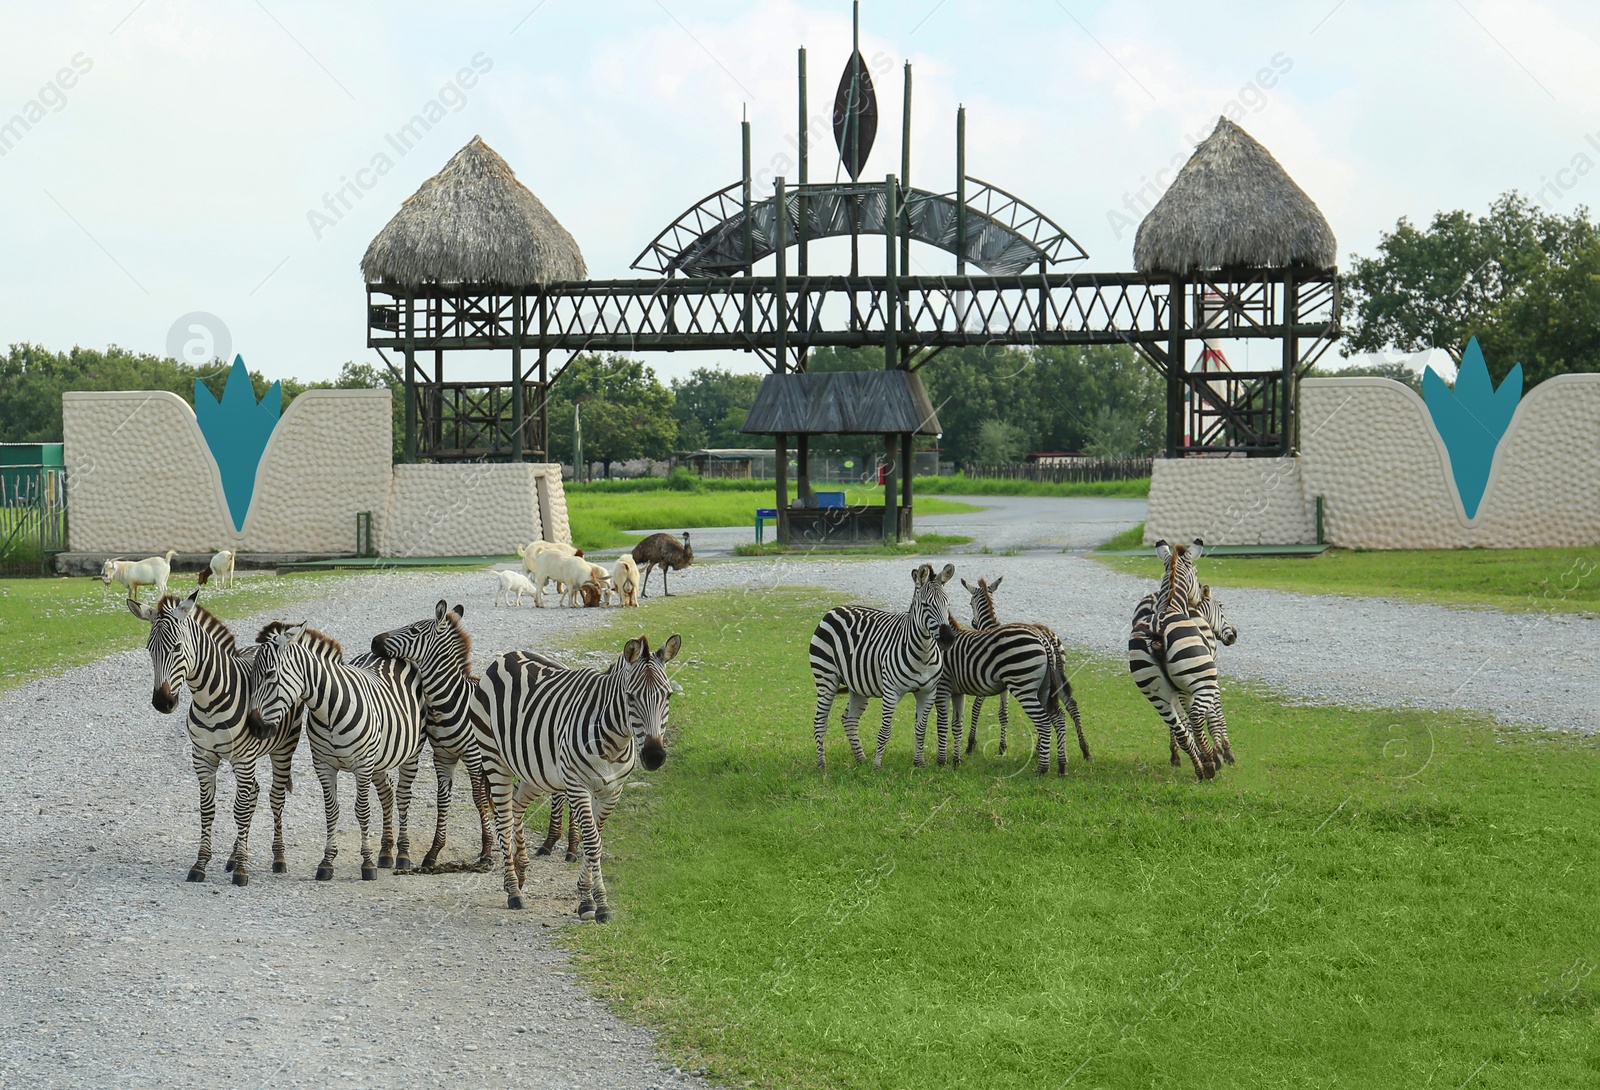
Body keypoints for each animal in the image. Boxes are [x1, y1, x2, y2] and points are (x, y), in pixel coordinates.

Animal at [127, 595, 300, 883]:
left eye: (177, 647)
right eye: (149, 649)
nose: (162, 703)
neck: (209, 700)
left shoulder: (243, 758)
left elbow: (239, 810)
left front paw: (242, 869)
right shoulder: (203, 757)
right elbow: (207, 809)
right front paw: (201, 864)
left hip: (283, 749)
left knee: (275, 798)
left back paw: (278, 858)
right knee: (254, 793)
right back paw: (232, 856)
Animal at [246, 624, 428, 877]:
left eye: (270, 674)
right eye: (251, 676)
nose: (254, 727)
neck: (328, 711)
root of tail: (384, 654)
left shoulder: (362, 765)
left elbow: (362, 810)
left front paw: (367, 864)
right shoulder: (324, 765)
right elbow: (331, 810)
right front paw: (327, 862)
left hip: (410, 753)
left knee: (402, 797)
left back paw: (402, 855)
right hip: (380, 759)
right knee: (387, 794)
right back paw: (385, 853)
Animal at [368, 598, 492, 870]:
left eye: (414, 630)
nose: (374, 640)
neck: (447, 703)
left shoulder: (473, 755)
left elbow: (478, 799)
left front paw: (487, 850)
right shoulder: (442, 755)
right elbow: (442, 799)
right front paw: (433, 852)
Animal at [806, 560, 953, 774]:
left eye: (948, 604)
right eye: (926, 605)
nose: (948, 639)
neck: (924, 653)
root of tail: (834, 609)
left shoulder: (928, 692)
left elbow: (920, 729)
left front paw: (919, 763)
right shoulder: (892, 691)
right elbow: (885, 730)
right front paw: (877, 766)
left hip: (857, 685)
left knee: (849, 719)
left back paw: (861, 759)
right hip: (826, 677)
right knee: (820, 721)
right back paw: (821, 764)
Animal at [947, 573, 1088, 761]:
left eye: (970, 603)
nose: (973, 623)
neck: (991, 625)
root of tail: (1047, 635)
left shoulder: (987, 681)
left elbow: (981, 708)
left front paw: (972, 744)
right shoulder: (1002, 685)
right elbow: (1003, 714)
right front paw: (1001, 746)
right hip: (1057, 676)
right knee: (1070, 706)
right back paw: (1083, 749)